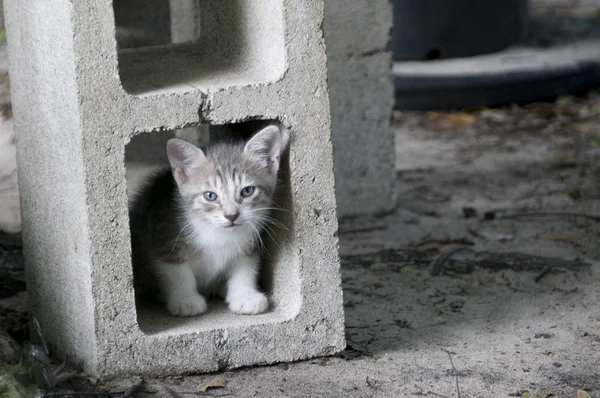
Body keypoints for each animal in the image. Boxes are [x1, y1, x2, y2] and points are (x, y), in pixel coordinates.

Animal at [130, 124, 284, 318]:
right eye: (210, 195)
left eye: (247, 191)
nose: (231, 215)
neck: (218, 233)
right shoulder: (162, 232)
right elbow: (175, 270)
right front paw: (185, 299)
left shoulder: (250, 242)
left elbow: (245, 267)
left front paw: (245, 296)